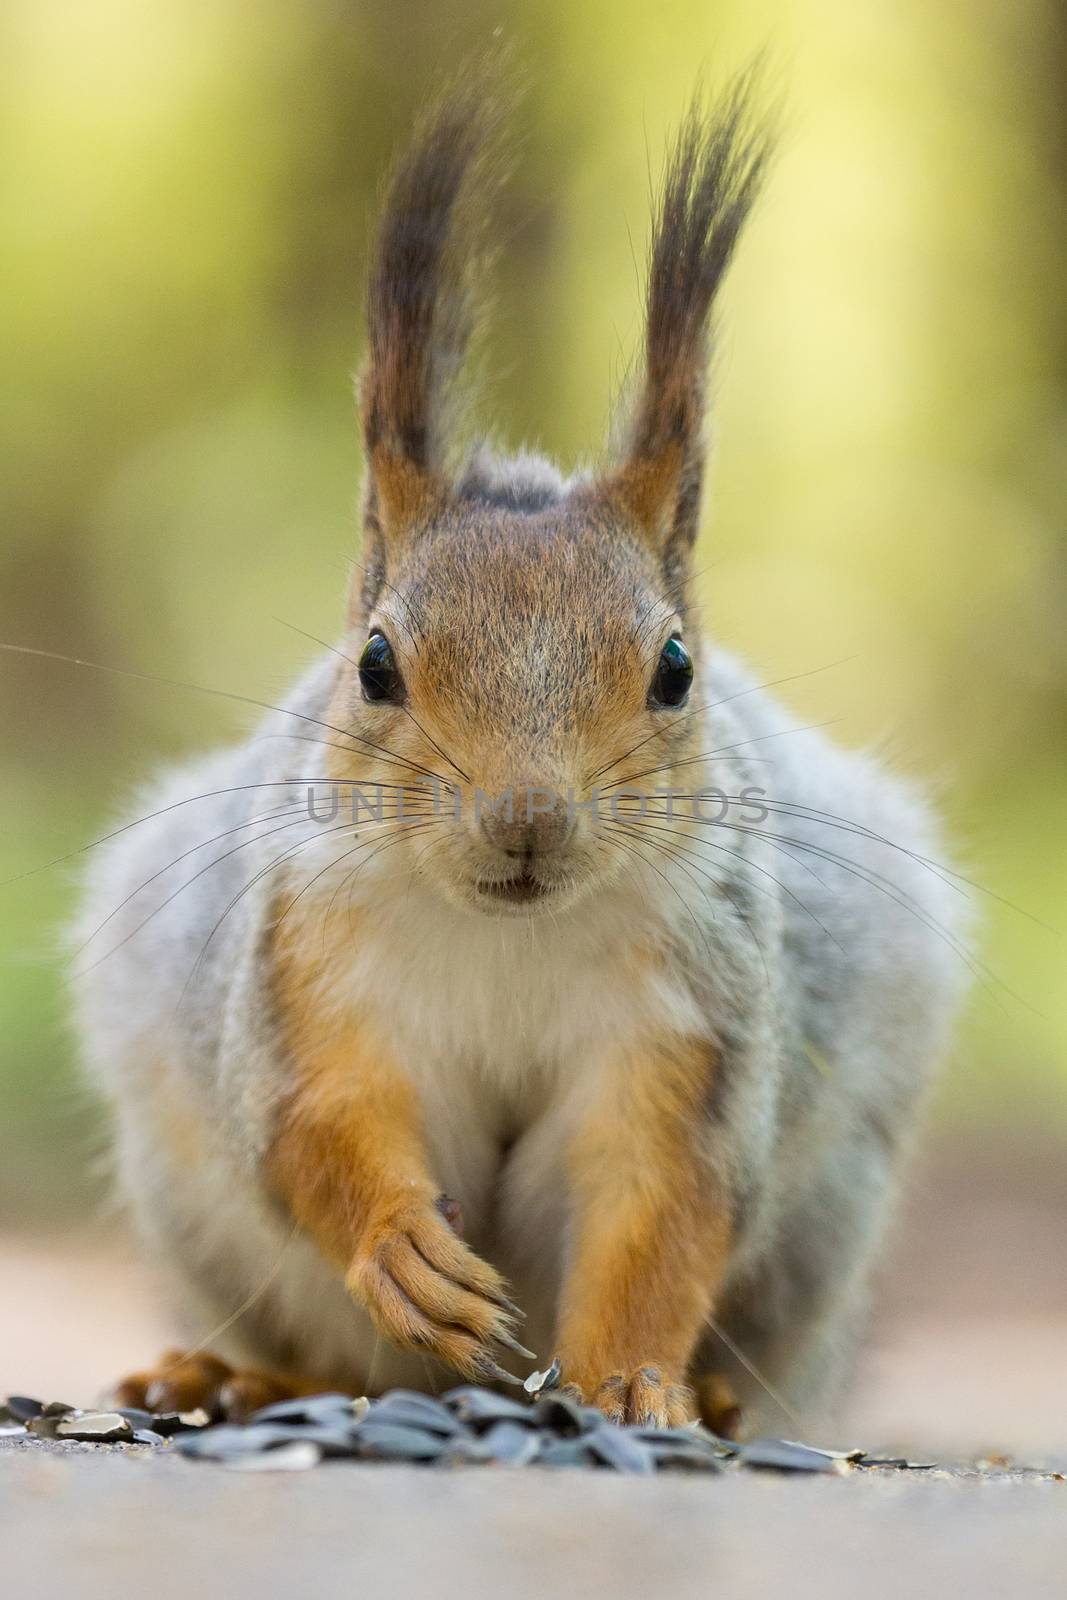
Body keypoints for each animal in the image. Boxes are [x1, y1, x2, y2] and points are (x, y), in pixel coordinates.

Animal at [68, 72, 966, 1440]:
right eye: (375, 664)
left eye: (673, 669)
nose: (525, 818)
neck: (508, 930)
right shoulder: (300, 966)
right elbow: (313, 1125)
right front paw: (398, 1245)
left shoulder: (694, 1016)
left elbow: (660, 1203)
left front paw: (632, 1384)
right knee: (328, 1352)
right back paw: (234, 1376)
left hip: (825, 1219)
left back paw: (718, 1398)